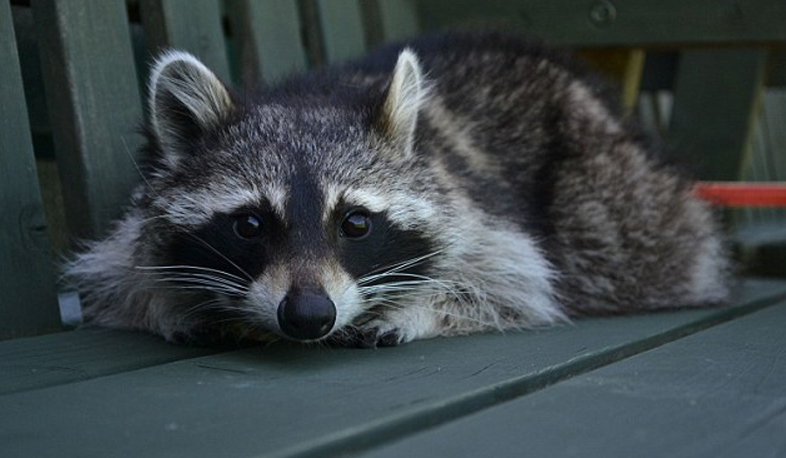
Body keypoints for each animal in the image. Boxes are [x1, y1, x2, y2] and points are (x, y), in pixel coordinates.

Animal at [66, 32, 730, 348]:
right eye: (249, 224)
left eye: (355, 223)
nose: (309, 316)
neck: (312, 97)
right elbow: (117, 274)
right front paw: (165, 301)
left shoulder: (479, 211)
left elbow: (517, 280)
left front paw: (420, 308)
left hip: (616, 199)